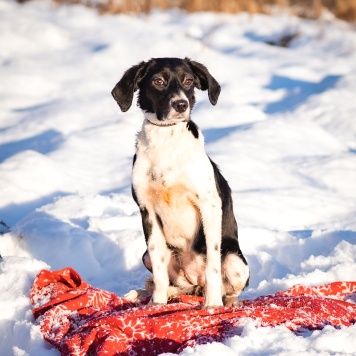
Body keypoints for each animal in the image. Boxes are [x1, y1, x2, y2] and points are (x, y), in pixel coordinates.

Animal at [110, 57, 248, 308]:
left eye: (188, 81)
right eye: (158, 81)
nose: (181, 104)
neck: (167, 142)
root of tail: (196, 283)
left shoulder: (209, 206)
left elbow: (213, 265)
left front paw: (213, 305)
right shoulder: (147, 211)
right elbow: (159, 271)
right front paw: (157, 304)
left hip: (235, 261)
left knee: (227, 287)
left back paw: (227, 302)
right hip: (147, 255)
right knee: (175, 284)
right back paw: (145, 293)